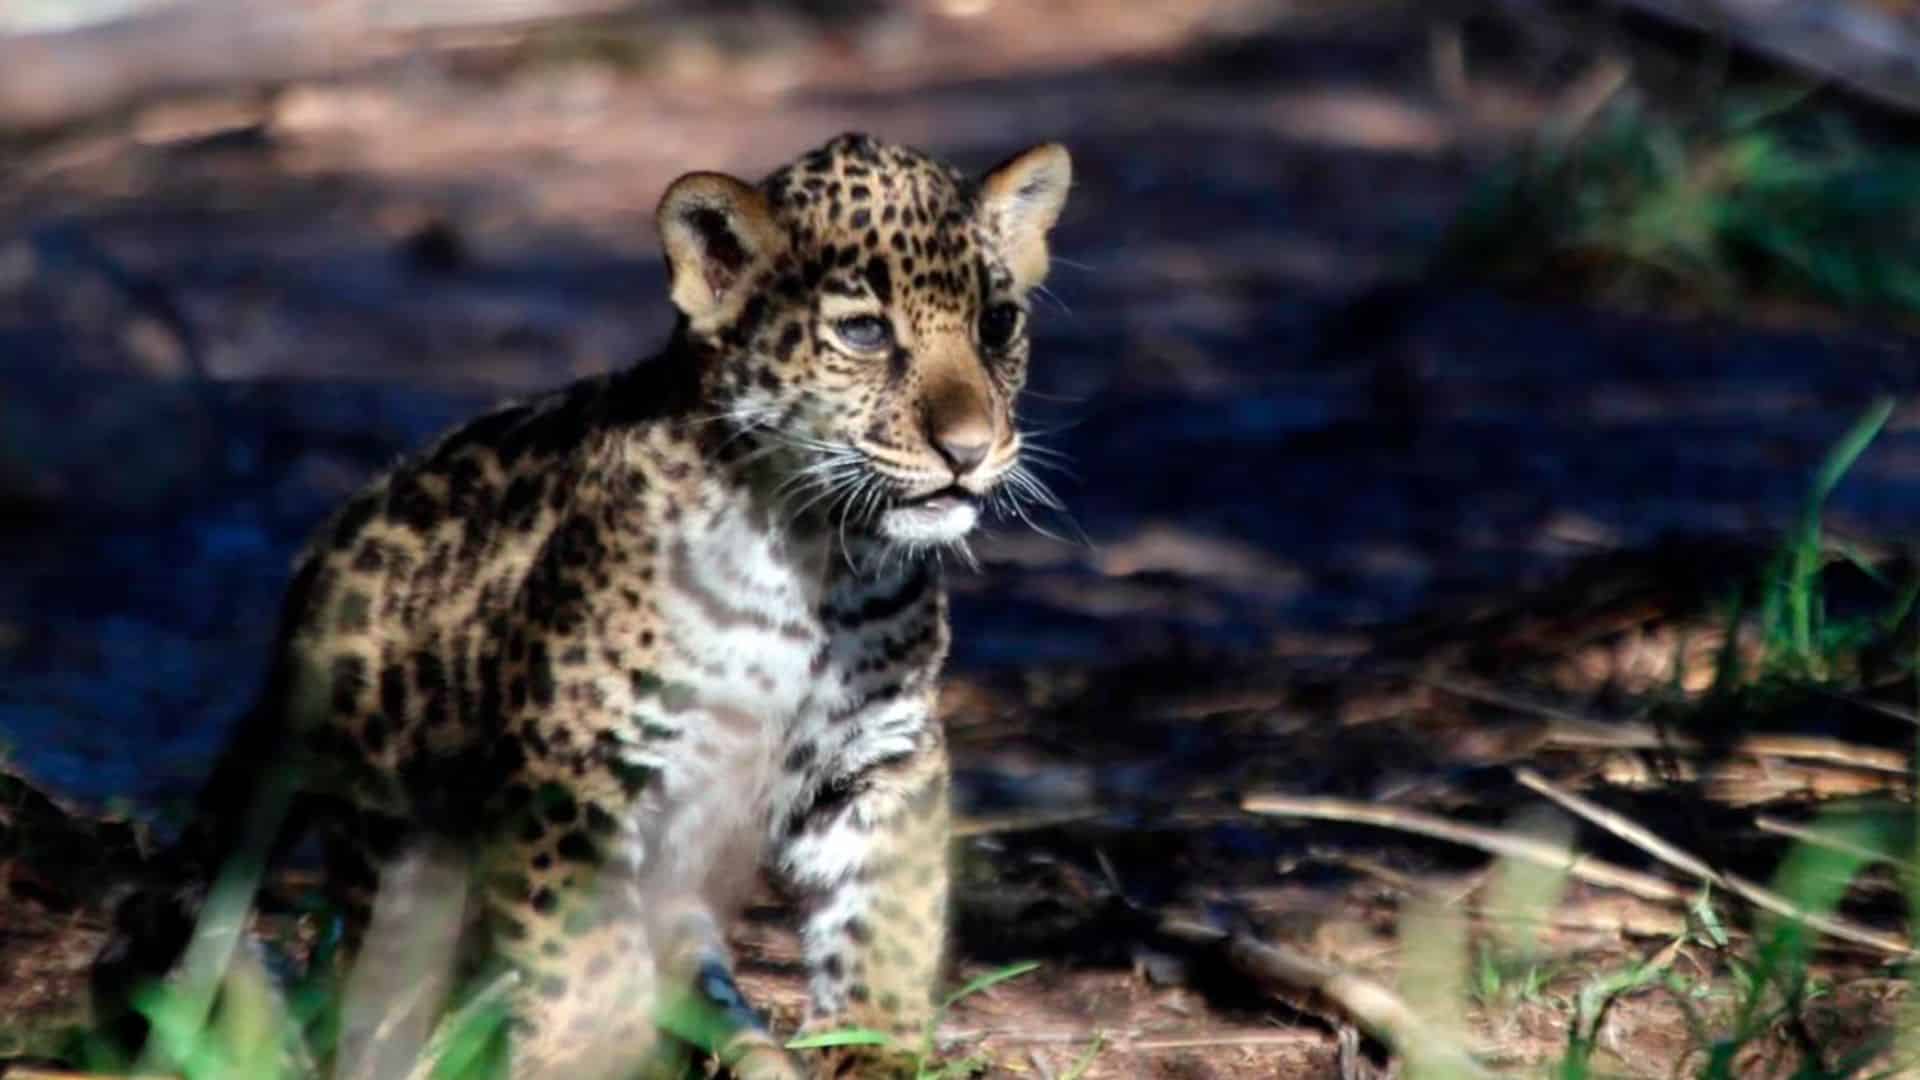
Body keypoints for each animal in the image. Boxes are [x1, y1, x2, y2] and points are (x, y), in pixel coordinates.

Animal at [93, 132, 1071, 1080]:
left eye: (998, 324)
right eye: (865, 333)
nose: (969, 449)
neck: (818, 561)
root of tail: (315, 574)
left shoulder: (877, 756)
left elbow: (884, 918)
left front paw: (872, 1049)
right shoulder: (574, 773)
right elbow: (586, 962)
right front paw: (583, 1054)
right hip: (398, 849)